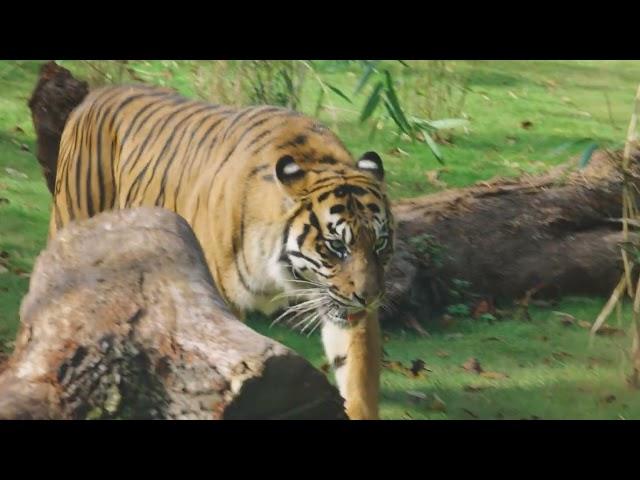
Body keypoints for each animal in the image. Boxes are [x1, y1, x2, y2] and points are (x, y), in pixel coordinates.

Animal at [48, 83, 396, 420]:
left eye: (379, 243)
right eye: (337, 245)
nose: (370, 297)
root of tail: (97, 93)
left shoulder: (342, 304)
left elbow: (357, 372)